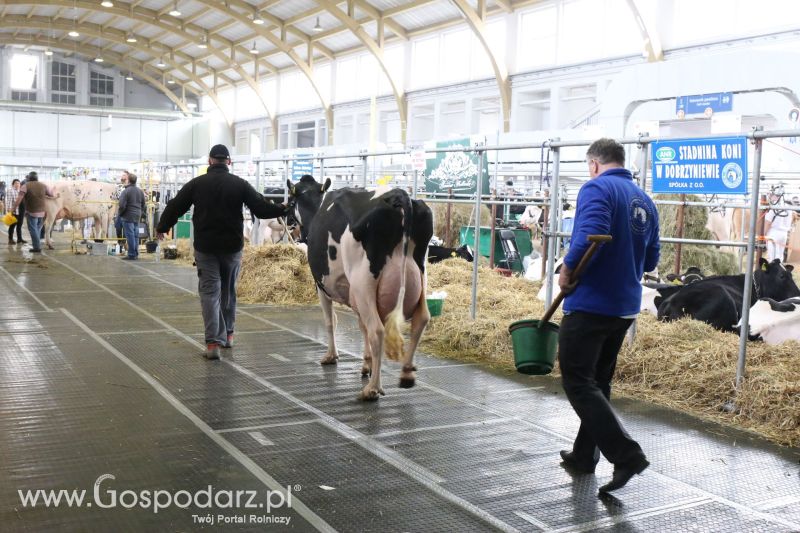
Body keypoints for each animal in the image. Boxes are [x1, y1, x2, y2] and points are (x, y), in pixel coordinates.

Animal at [288, 175, 434, 400]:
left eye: (290, 202)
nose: (291, 225)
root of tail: (400, 194)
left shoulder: (322, 286)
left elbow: (330, 321)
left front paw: (331, 355)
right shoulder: (354, 297)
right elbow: (361, 326)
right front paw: (367, 364)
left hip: (363, 282)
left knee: (377, 330)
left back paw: (372, 389)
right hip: (419, 276)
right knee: (421, 319)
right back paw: (407, 374)